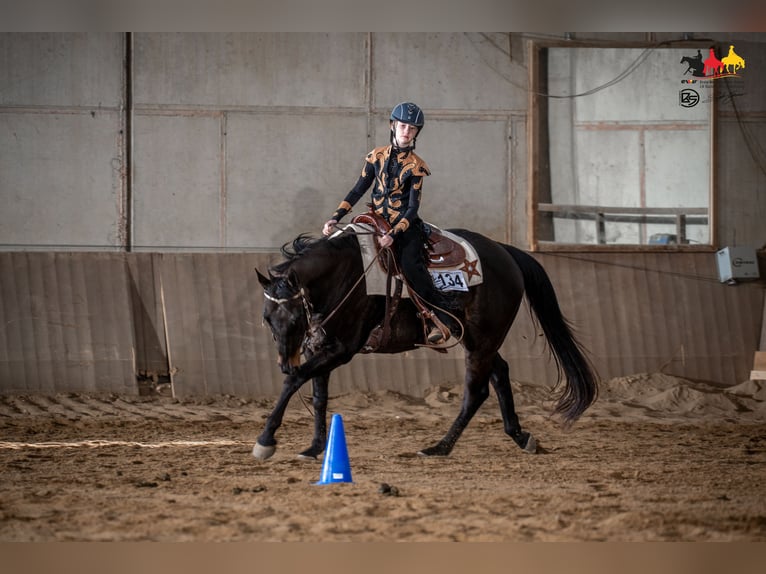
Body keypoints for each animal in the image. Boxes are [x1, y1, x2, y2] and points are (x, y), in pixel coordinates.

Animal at [252, 227, 599, 460]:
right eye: (267, 318)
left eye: (293, 318)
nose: (284, 362)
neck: (346, 275)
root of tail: (505, 251)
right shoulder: (319, 347)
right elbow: (318, 396)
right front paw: (314, 447)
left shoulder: (341, 349)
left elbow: (296, 380)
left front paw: (266, 440)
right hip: (479, 340)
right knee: (500, 373)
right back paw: (520, 436)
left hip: (481, 340)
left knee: (476, 392)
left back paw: (439, 447)